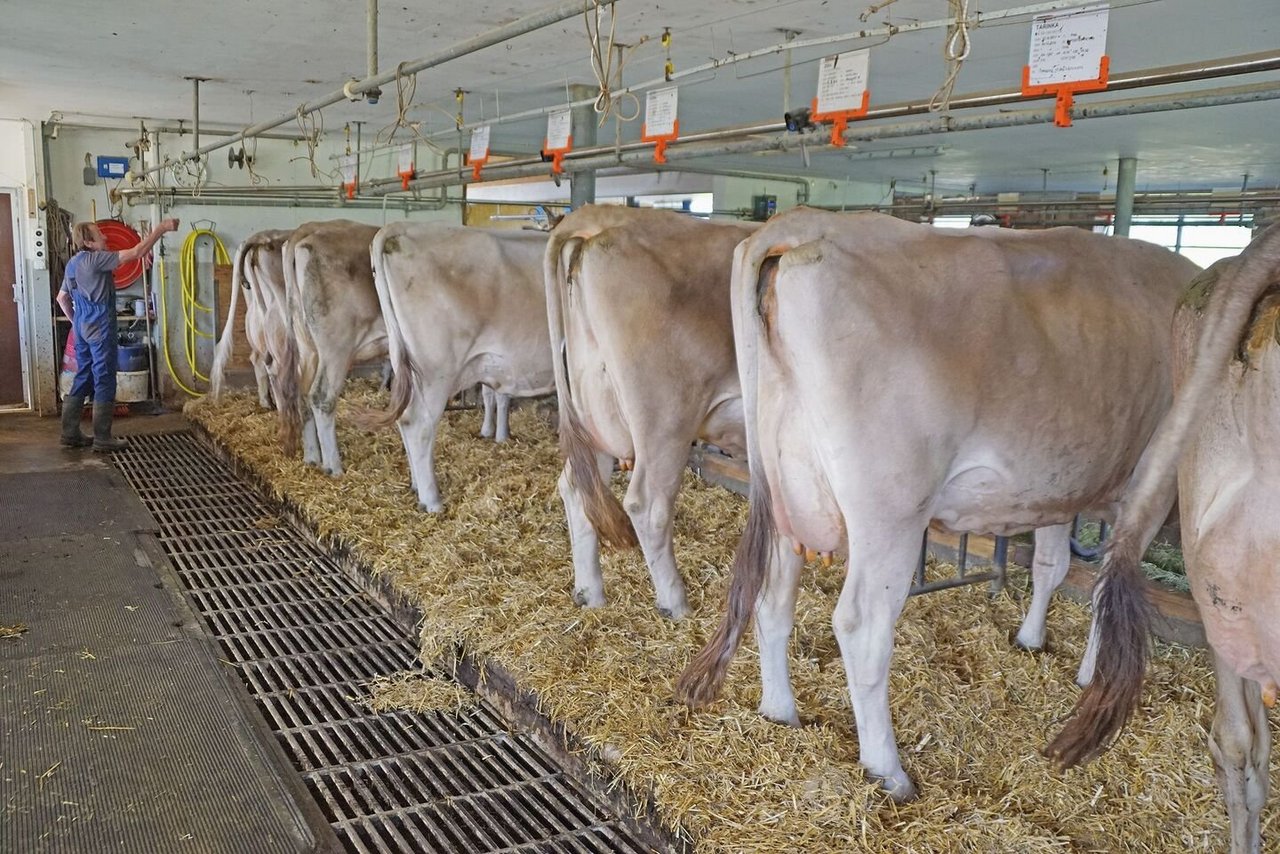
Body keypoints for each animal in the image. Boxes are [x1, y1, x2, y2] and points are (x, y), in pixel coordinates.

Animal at [276, 220, 384, 473]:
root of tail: (307, 229)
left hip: (307, 347)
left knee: (302, 394)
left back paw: (312, 457)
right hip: (336, 348)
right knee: (321, 396)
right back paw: (333, 467)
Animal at [675, 207, 1203, 804]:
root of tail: (804, 223)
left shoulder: (1059, 491)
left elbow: (1053, 566)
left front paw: (1032, 639)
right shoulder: (1149, 487)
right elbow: (1104, 586)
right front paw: (1093, 674)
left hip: (786, 490)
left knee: (772, 596)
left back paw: (779, 711)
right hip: (890, 512)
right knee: (862, 625)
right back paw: (889, 771)